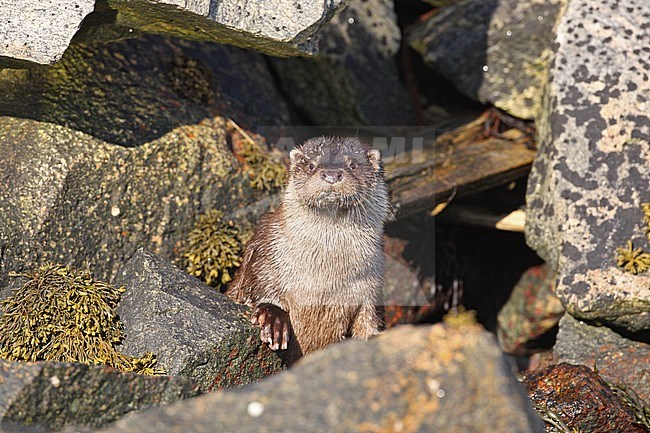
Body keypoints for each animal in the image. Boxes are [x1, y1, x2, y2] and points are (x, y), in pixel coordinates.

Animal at [225, 137, 388, 362]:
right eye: (312, 165)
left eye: (353, 165)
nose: (331, 174)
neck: (324, 282)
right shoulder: (267, 250)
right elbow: (256, 285)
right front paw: (273, 317)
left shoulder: (372, 285)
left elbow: (370, 319)